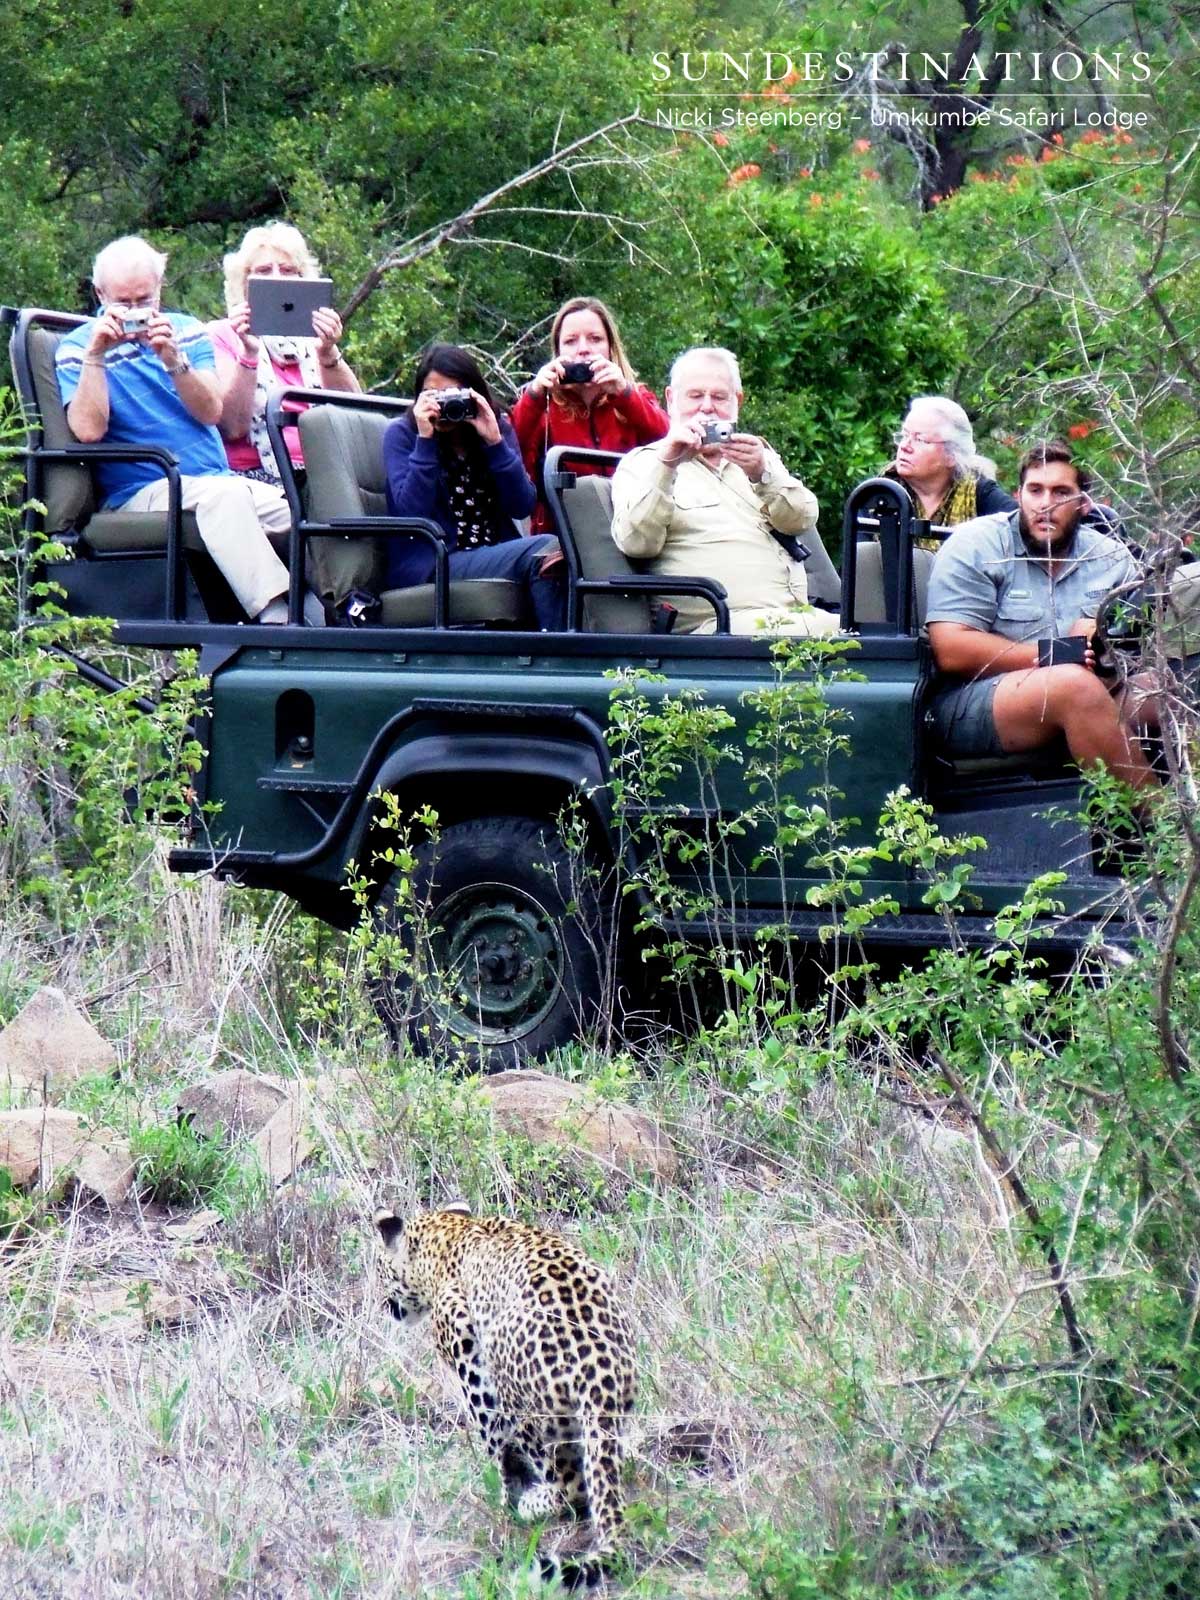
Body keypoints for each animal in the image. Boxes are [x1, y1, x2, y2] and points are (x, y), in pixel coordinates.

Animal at [374, 1202, 636, 1591]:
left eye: (380, 1268)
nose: (384, 1305)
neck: (451, 1239)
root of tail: (598, 1372)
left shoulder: (465, 1345)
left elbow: (492, 1441)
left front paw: (503, 1498)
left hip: (525, 1408)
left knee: (570, 1486)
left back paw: (532, 1502)